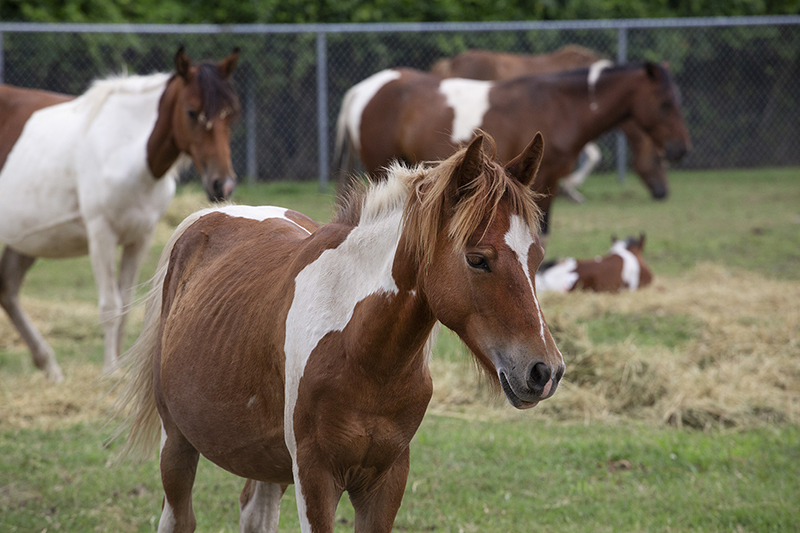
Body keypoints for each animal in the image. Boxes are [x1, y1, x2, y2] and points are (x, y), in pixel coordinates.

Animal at [0, 45, 244, 378]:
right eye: (191, 112)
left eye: (231, 114)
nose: (223, 184)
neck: (127, 149)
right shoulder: (101, 234)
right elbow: (111, 307)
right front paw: (110, 371)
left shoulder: (140, 238)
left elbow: (126, 304)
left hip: (26, 241)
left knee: (8, 290)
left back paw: (50, 367)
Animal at [120, 133, 564, 532]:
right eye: (477, 259)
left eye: (538, 256)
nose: (545, 371)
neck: (363, 355)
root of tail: (208, 218)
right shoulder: (315, 477)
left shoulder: (385, 482)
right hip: (177, 443)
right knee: (179, 518)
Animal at [334, 61, 692, 238]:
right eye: (665, 102)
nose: (680, 149)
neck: (560, 105)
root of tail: (362, 90)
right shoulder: (542, 183)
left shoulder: (549, 181)